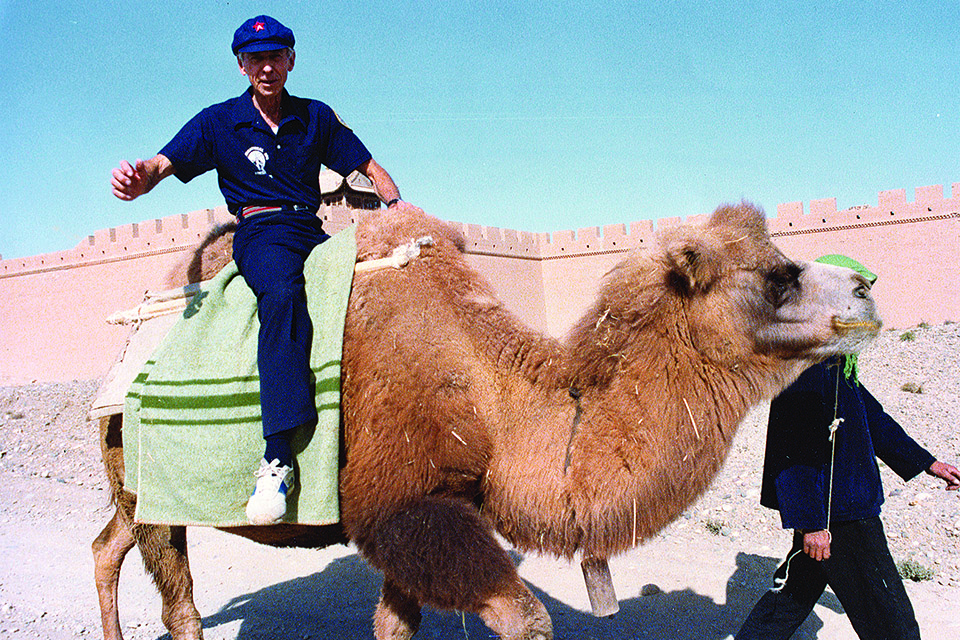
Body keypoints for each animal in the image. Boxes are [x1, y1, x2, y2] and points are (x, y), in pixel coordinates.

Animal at [94, 202, 880, 636]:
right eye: (778, 275)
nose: (867, 286)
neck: (494, 400)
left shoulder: (436, 505)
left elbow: (392, 624)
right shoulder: (400, 504)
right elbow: (527, 621)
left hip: (129, 482)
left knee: (108, 546)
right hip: (144, 472)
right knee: (177, 600)